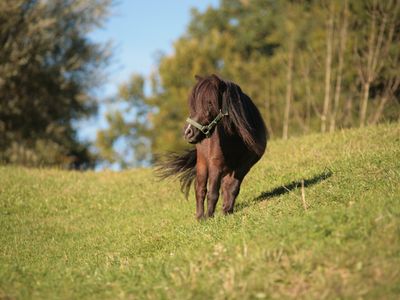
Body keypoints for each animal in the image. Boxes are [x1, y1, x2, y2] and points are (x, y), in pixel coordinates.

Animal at [158, 74, 268, 219]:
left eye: (209, 103)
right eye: (193, 104)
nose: (188, 132)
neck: (235, 140)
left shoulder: (243, 166)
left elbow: (231, 187)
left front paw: (226, 211)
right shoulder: (215, 164)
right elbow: (212, 192)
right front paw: (209, 217)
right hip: (202, 163)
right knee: (200, 189)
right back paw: (200, 217)